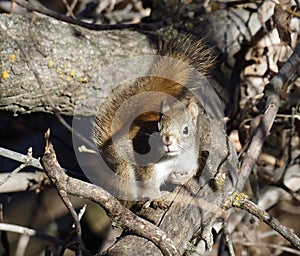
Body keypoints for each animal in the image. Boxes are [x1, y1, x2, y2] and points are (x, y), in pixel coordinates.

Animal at [93, 36, 213, 207]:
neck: (174, 157)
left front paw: (180, 178)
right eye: (159, 127)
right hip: (122, 169)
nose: (167, 141)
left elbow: (191, 171)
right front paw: (156, 198)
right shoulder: (148, 164)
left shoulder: (191, 159)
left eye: (186, 130)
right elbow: (149, 182)